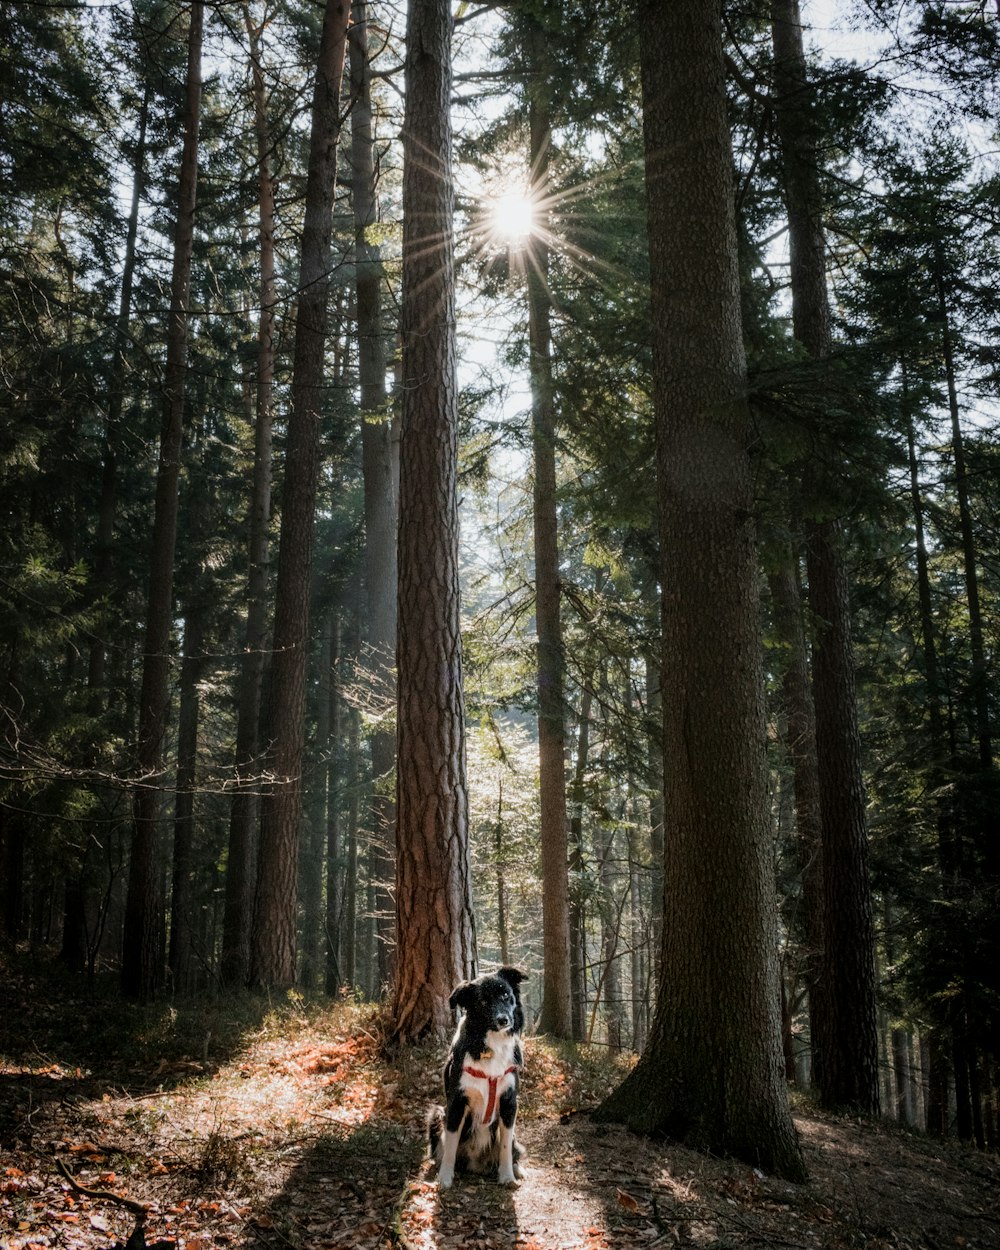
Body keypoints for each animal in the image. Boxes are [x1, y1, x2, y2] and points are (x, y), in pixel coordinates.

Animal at [425, 965, 527, 1190]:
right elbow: (450, 1142)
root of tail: (476, 1164)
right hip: (437, 1113)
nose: (504, 1020)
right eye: (483, 1002)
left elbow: (505, 1146)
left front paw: (507, 1176)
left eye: (505, 995)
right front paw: (445, 1178)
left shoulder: (509, 1102)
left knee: (512, 1147)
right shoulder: (456, 1102)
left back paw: (516, 1169)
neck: (491, 1045)